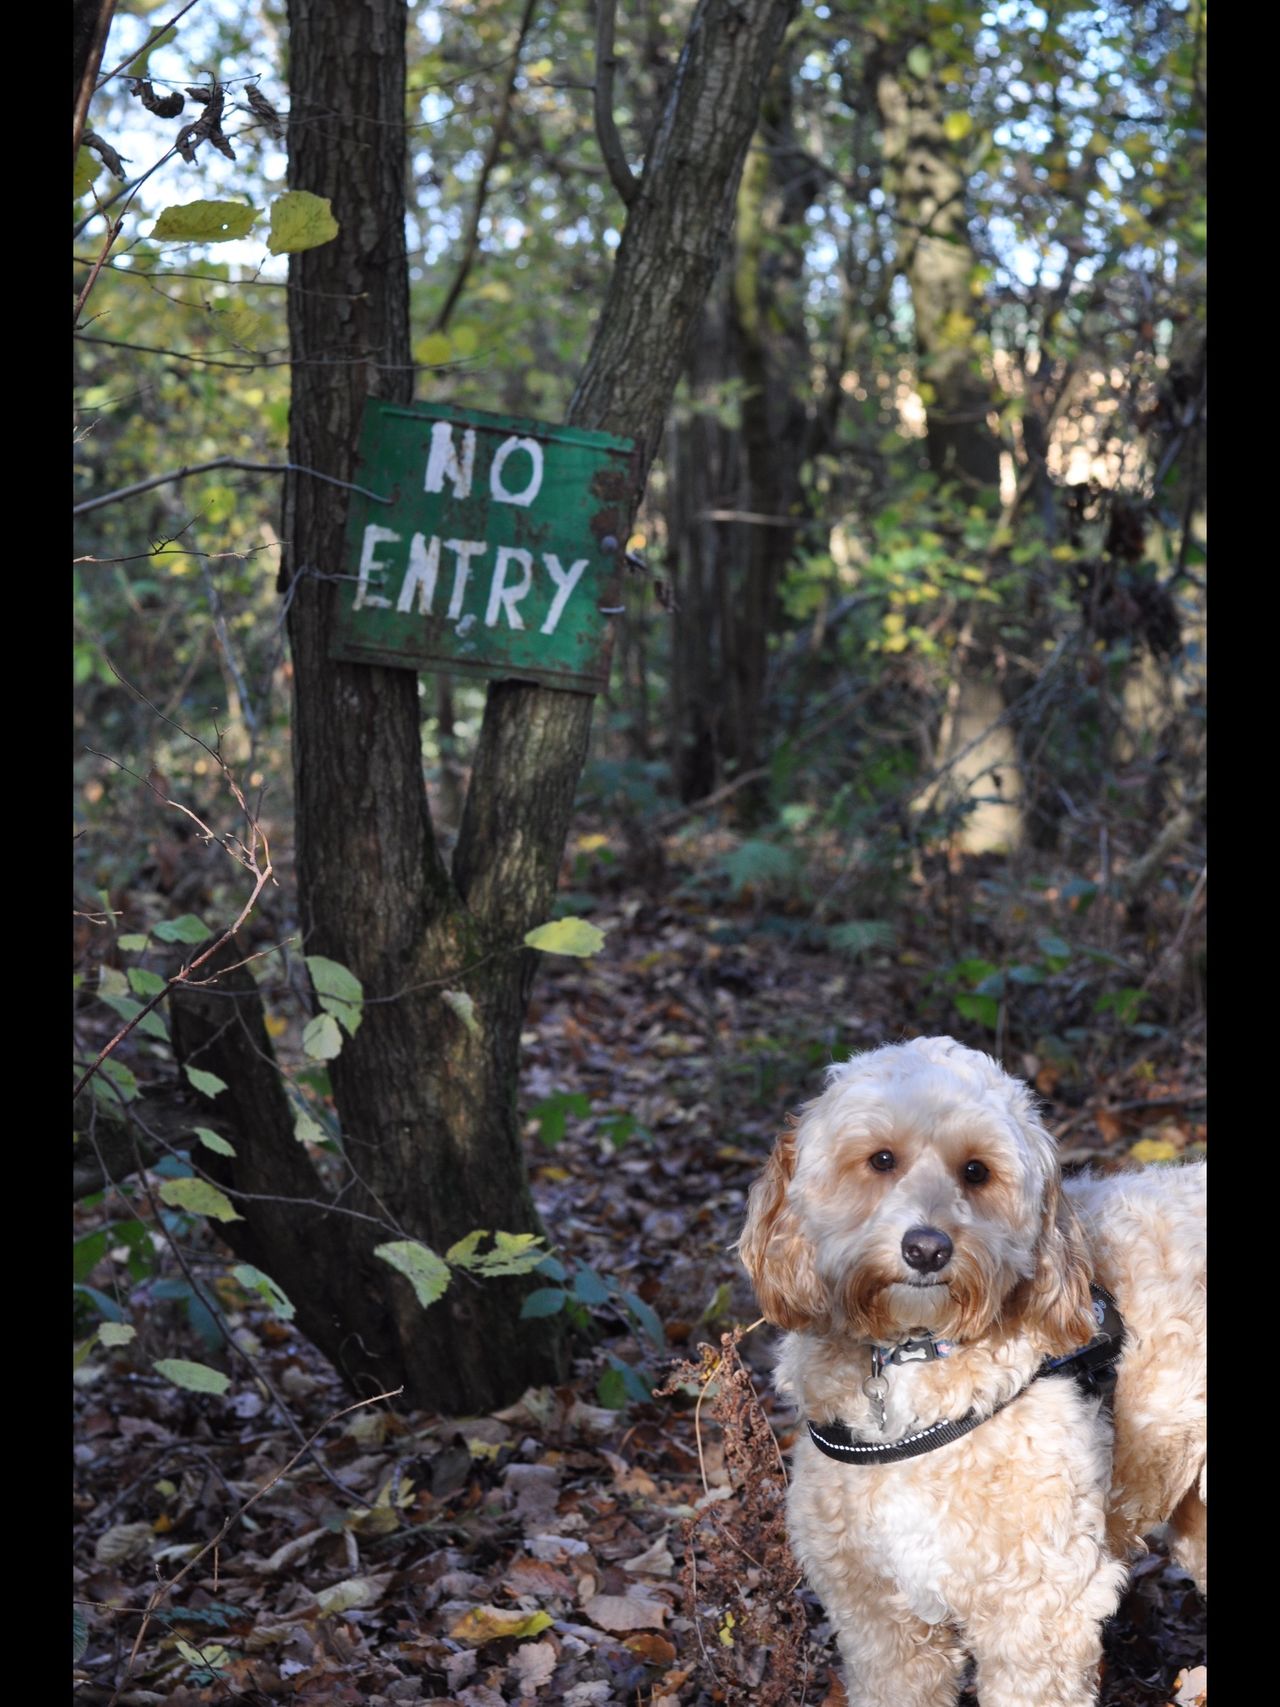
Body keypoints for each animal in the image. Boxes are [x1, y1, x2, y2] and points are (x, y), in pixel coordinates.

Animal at [737, 1031, 1208, 1707]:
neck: (913, 1358)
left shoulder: (1039, 1611)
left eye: (976, 1171)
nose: (927, 1249)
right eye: (882, 1160)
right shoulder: (879, 1621)